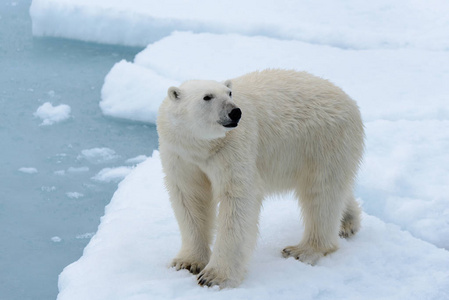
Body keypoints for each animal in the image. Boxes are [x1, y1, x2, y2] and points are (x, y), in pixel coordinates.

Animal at [158, 69, 364, 288]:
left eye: (229, 93)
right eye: (207, 97)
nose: (235, 112)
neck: (204, 148)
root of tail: (349, 100)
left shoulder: (233, 148)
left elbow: (237, 200)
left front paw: (214, 276)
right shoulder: (181, 155)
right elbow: (190, 198)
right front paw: (187, 262)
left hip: (325, 140)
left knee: (321, 194)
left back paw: (303, 250)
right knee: (335, 190)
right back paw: (347, 223)